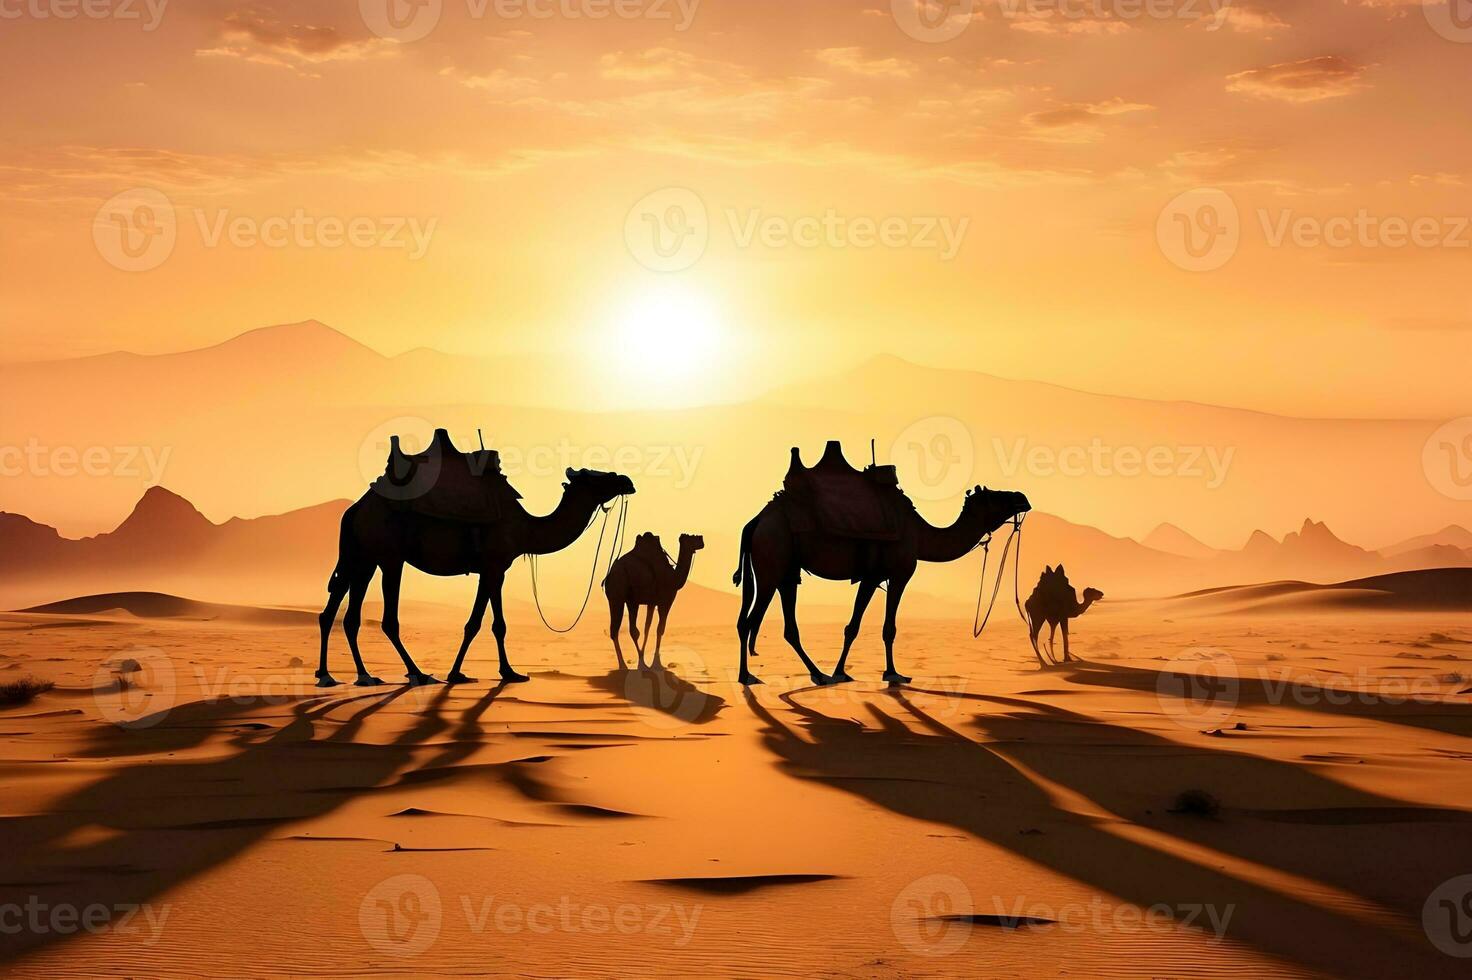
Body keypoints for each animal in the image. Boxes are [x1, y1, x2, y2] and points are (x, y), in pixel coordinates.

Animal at [316, 467, 638, 685]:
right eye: (596, 476)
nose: (627, 480)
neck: (525, 528)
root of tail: (355, 509)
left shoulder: (496, 569)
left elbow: (493, 624)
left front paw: (505, 672)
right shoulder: (493, 566)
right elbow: (480, 623)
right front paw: (461, 673)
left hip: (362, 556)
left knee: (341, 612)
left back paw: (345, 676)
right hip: (388, 556)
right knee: (386, 620)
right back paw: (417, 674)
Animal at [603, 529, 706, 668]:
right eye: (692, 537)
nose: (702, 540)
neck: (674, 577)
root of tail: (610, 574)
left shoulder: (652, 602)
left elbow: (647, 628)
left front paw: (648, 657)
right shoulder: (666, 600)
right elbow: (660, 629)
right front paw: (657, 662)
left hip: (624, 599)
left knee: (624, 630)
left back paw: (634, 662)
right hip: (621, 596)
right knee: (622, 630)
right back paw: (627, 664)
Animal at [730, 482, 1030, 682]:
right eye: (994, 496)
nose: (1022, 497)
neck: (919, 534)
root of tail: (756, 521)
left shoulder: (871, 577)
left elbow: (853, 626)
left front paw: (840, 672)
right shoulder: (894, 575)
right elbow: (884, 628)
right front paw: (893, 674)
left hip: (786, 569)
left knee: (787, 626)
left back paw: (818, 674)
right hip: (771, 561)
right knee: (748, 620)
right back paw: (747, 677)